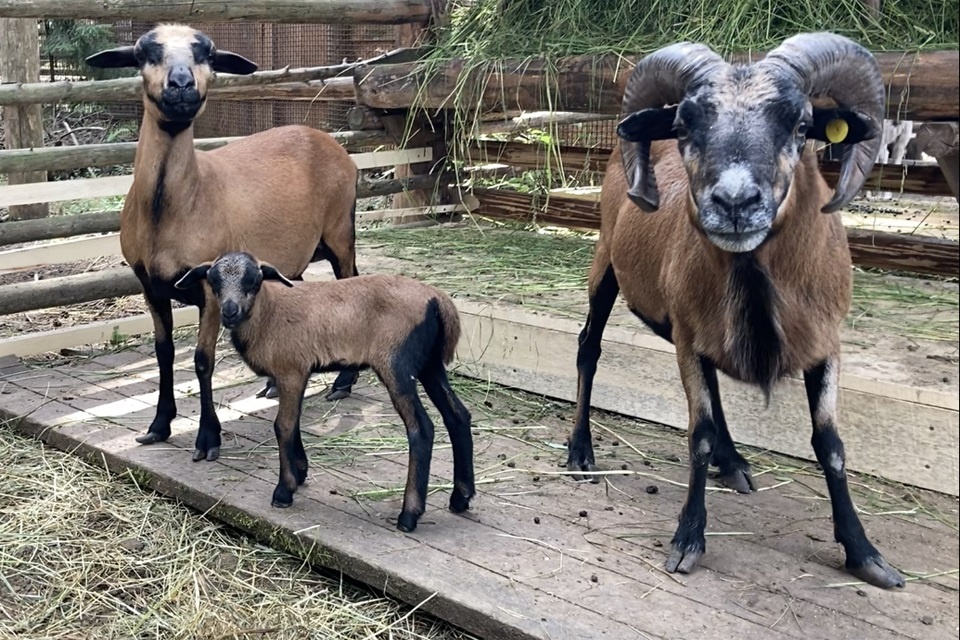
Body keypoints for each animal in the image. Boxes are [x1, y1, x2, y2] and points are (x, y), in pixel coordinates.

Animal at [86, 23, 362, 464]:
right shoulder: (149, 286)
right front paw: (158, 425)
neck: (175, 206)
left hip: (339, 230)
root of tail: (330, 140)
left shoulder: (210, 290)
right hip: (292, 254)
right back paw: (274, 384)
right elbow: (164, 353)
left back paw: (344, 383)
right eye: (145, 52)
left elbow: (203, 361)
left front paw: (207, 438)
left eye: (208, 55)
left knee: (350, 282)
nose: (182, 83)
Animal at [174, 252, 478, 532]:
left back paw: (409, 515)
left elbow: (283, 426)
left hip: (396, 363)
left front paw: (284, 490)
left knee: (421, 429)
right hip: (430, 363)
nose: (229, 311)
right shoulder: (297, 373)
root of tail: (438, 300)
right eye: (214, 281)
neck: (267, 313)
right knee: (458, 416)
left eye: (254, 280)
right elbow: (293, 422)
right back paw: (461, 497)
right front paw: (300, 472)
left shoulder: (291, 371)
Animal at [568, 31, 904, 592]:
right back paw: (580, 452)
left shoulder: (825, 345)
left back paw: (735, 465)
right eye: (685, 124)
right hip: (606, 267)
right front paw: (687, 542)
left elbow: (831, 445)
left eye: (801, 125)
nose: (734, 202)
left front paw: (867, 556)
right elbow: (699, 436)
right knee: (588, 350)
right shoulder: (688, 338)